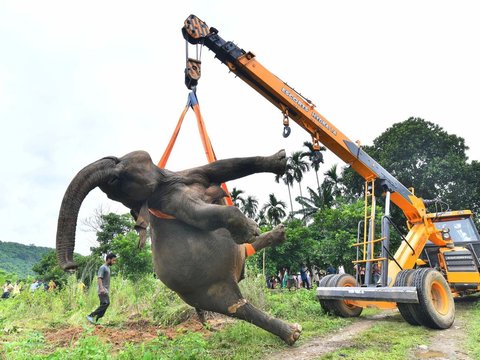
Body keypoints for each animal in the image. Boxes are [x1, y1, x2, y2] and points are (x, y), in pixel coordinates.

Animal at [56, 150, 302, 346]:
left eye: (115, 175)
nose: (71, 266)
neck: (164, 181)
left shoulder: (183, 175)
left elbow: (220, 167)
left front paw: (281, 160)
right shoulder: (170, 202)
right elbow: (203, 215)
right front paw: (251, 228)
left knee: (245, 256)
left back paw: (279, 234)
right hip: (204, 290)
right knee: (237, 307)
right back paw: (293, 333)